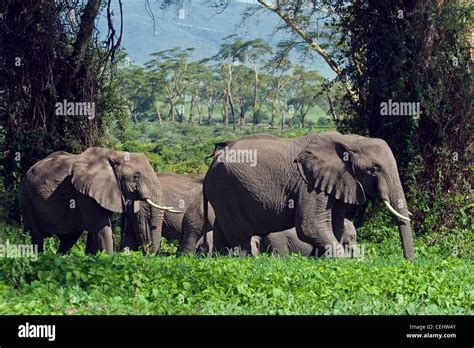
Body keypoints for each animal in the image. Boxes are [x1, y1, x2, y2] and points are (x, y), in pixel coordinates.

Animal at [18, 147, 178, 253]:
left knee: (69, 238)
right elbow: (100, 228)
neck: (115, 155)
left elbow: (96, 231)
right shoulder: (84, 193)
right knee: (37, 237)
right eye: (136, 177)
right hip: (26, 197)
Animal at [194, 132, 412, 260]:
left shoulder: (336, 181)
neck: (349, 140)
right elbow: (310, 226)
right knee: (241, 237)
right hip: (226, 189)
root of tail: (210, 166)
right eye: (374, 170)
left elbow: (334, 225)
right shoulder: (309, 184)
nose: (409, 262)